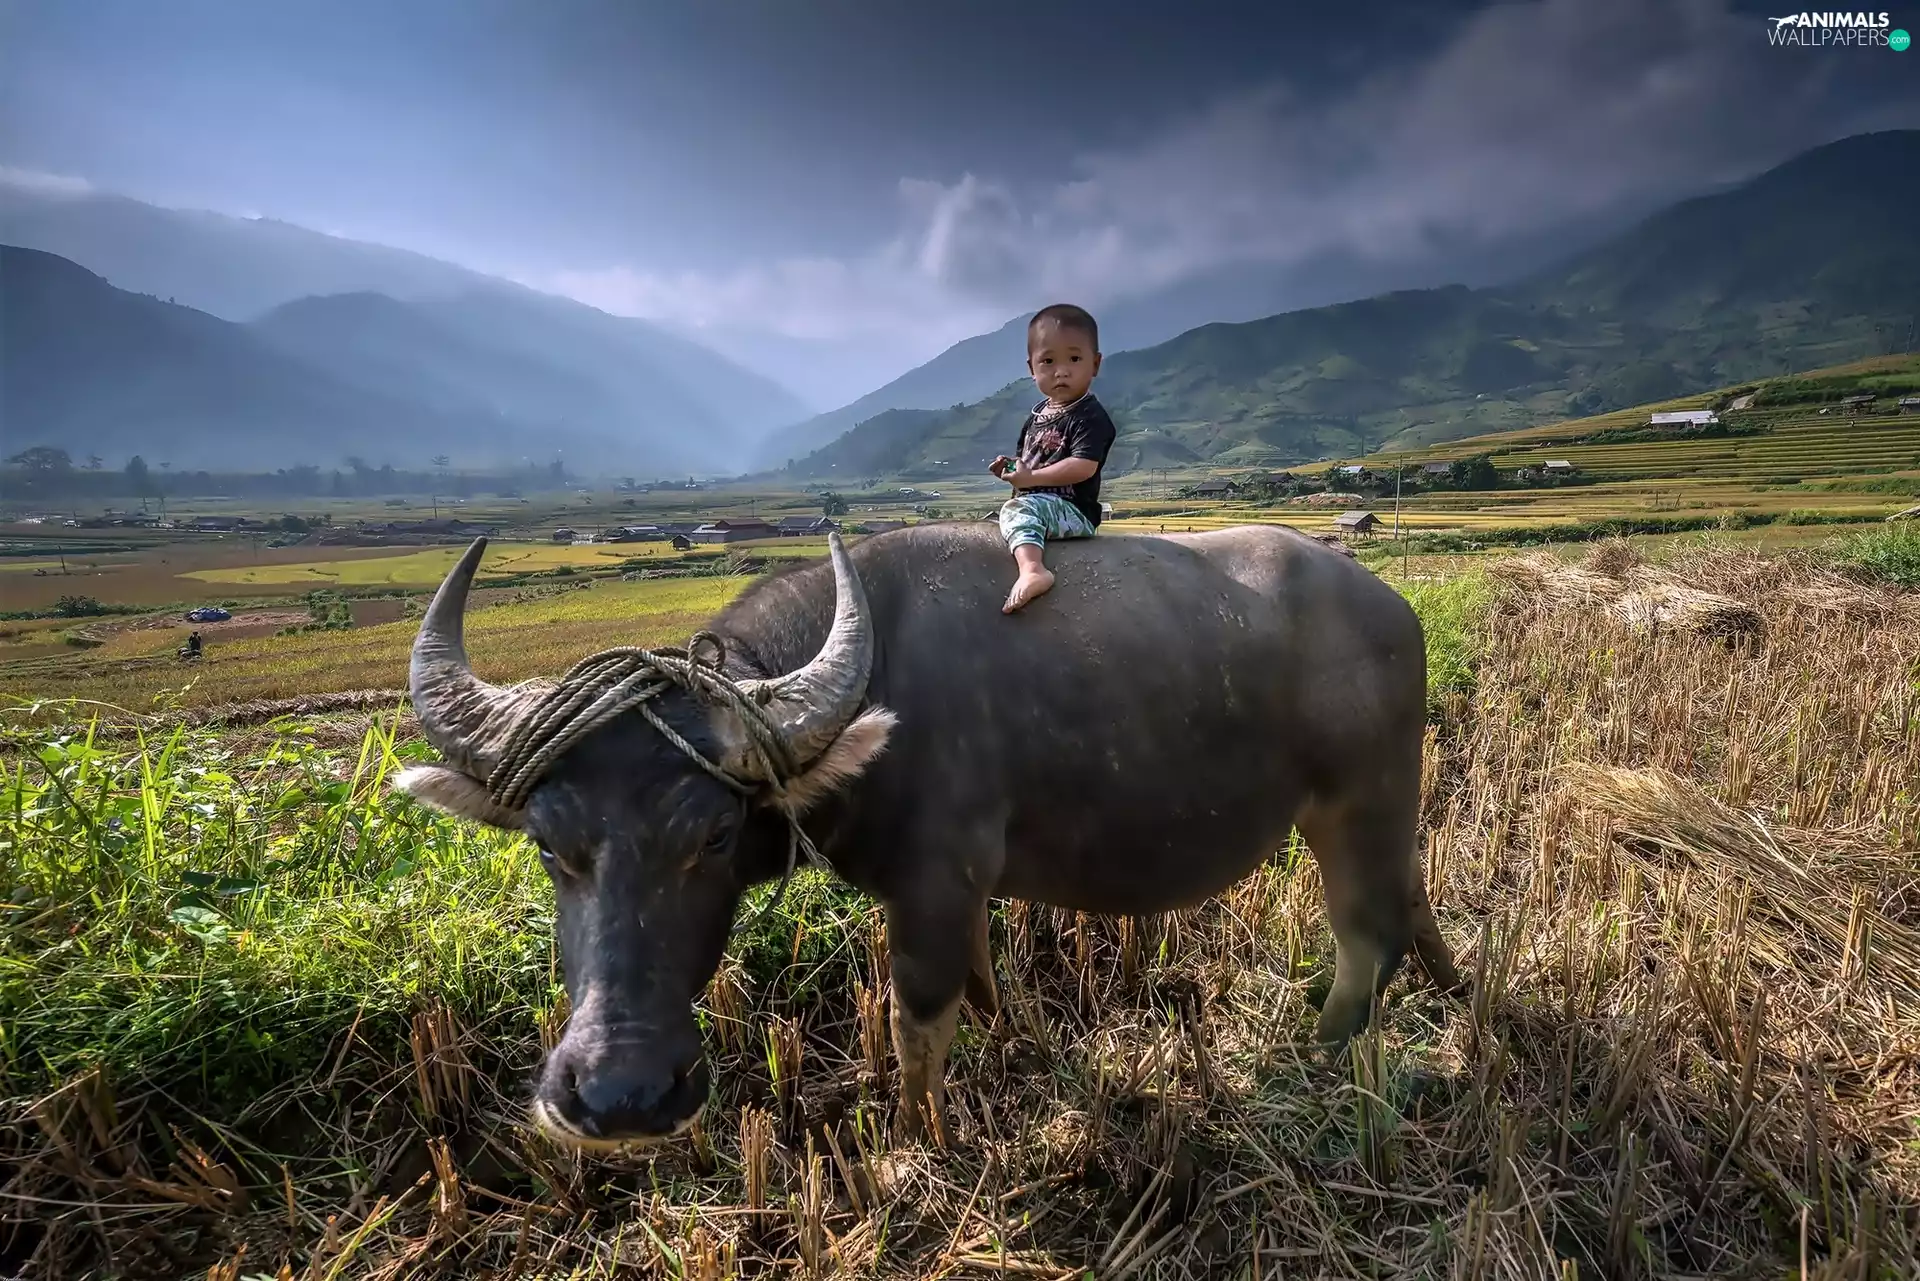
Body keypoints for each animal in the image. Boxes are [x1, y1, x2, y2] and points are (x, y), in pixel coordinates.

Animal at [395, 524, 1461, 1148]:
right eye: (548, 843)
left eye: (712, 833)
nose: (622, 1094)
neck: (877, 693)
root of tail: (1392, 609)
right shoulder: (963, 891)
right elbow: (983, 988)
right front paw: (1019, 1048)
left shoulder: (937, 885)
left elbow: (918, 1022)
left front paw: (915, 1136)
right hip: (1388, 805)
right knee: (1412, 895)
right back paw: (1454, 990)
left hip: (1354, 805)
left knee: (1367, 934)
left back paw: (1322, 1049)